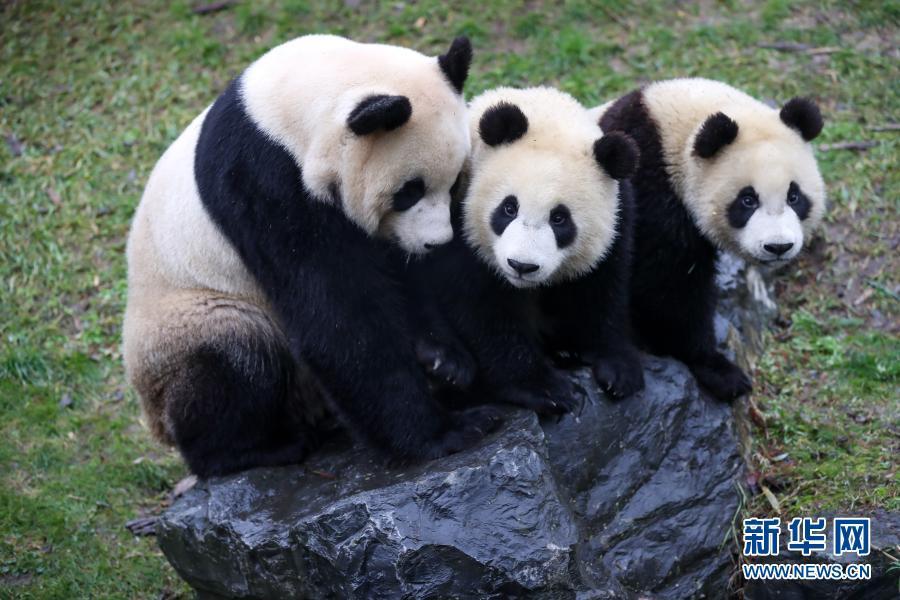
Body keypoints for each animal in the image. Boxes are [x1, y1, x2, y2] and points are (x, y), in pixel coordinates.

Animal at [122, 34, 503, 478]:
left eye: (457, 181)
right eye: (409, 191)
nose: (436, 243)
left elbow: (395, 276)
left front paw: (445, 360)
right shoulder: (264, 183)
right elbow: (336, 312)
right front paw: (445, 432)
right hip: (187, 319)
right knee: (236, 358)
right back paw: (258, 449)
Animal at [405, 87, 644, 414]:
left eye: (560, 219)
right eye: (509, 208)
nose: (522, 265)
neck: (545, 115)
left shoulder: (619, 219)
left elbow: (602, 289)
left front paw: (618, 367)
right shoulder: (455, 218)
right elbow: (481, 309)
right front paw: (545, 388)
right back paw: (445, 364)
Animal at [595, 78, 826, 401]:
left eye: (794, 196)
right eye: (747, 200)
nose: (778, 247)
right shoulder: (648, 188)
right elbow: (669, 287)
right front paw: (719, 369)